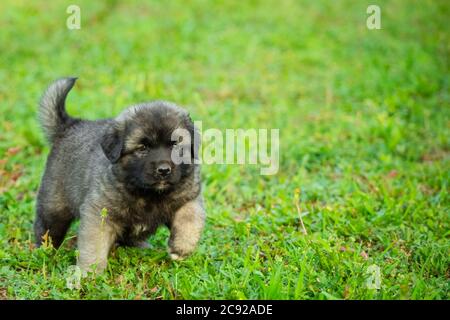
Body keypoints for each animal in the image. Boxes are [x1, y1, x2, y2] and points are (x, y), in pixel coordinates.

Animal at [34, 78, 205, 272]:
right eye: (142, 148)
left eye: (176, 145)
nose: (163, 170)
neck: (149, 194)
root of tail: (69, 125)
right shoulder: (100, 213)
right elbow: (94, 245)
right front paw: (89, 272)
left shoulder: (189, 197)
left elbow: (189, 219)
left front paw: (181, 248)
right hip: (54, 205)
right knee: (47, 228)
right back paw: (45, 252)